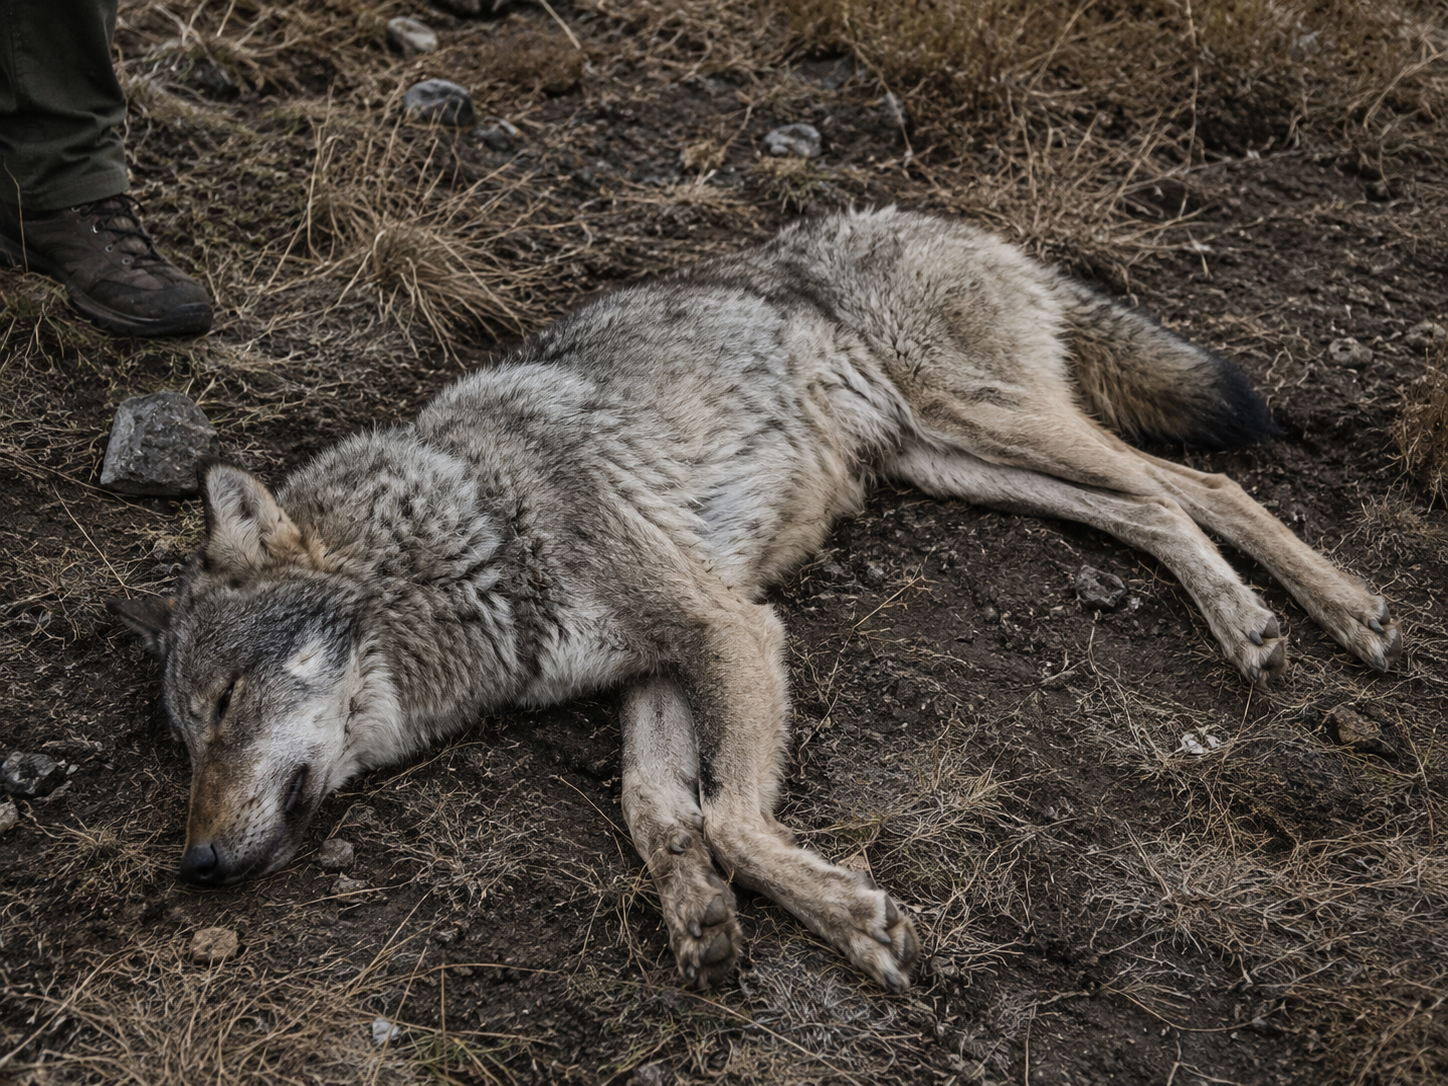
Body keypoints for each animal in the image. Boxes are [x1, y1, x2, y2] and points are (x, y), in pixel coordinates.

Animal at [108, 207, 1400, 991]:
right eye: (184, 742)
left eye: (221, 708)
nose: (197, 869)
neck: (468, 531)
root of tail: (949, 223)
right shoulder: (658, 665)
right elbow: (654, 809)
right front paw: (696, 912)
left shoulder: (731, 626)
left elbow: (731, 817)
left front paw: (854, 921)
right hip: (963, 464)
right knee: (1147, 510)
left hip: (995, 422)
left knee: (1198, 487)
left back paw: (1304, 617)